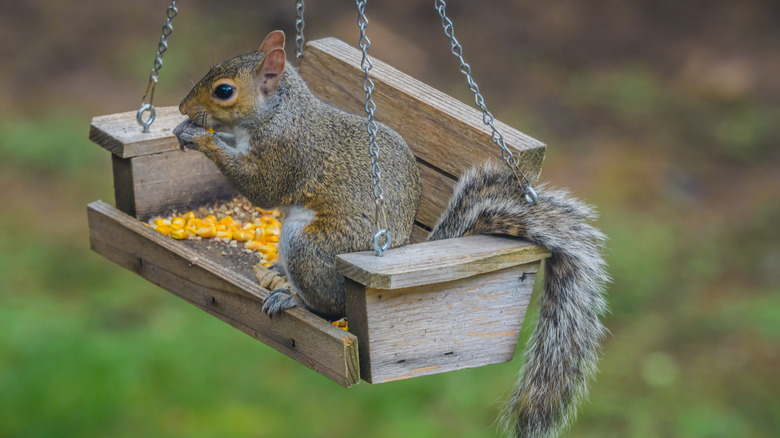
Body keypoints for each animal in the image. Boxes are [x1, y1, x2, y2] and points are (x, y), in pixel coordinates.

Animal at [174, 30, 608, 438]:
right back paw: (278, 275)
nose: (181, 108)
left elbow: (261, 188)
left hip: (309, 245)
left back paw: (293, 298)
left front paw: (201, 138)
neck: (278, 111)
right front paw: (184, 129)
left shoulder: (286, 152)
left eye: (224, 91)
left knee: (330, 307)